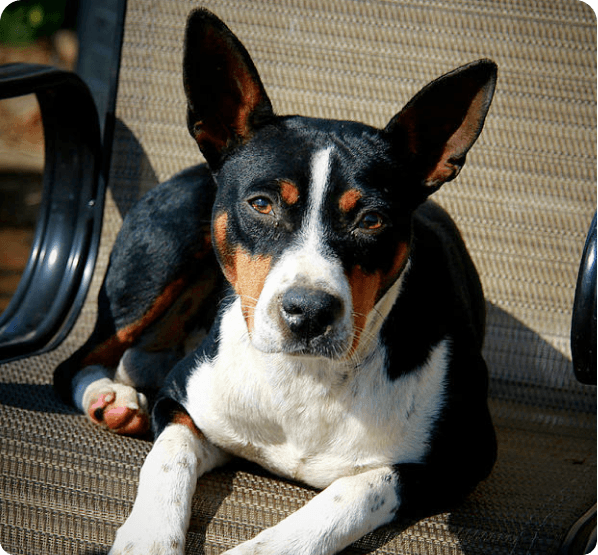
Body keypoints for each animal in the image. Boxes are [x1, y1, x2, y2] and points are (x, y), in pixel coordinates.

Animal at [55, 8, 496, 555]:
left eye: (371, 220)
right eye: (261, 204)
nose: (308, 312)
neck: (306, 377)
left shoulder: (460, 460)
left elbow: (353, 492)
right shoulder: (180, 403)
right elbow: (168, 459)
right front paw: (148, 538)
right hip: (160, 258)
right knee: (80, 360)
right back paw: (109, 398)